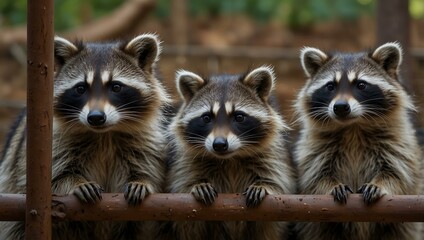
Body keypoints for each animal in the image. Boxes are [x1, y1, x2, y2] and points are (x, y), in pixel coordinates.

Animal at [0, 33, 169, 240]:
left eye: (116, 87)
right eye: (80, 88)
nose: (95, 117)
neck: (104, 135)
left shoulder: (144, 140)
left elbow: (148, 168)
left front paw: (142, 181)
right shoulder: (53, 143)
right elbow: (50, 179)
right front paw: (75, 182)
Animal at [161, 66, 296, 240]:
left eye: (239, 117)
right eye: (206, 118)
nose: (219, 145)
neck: (231, 159)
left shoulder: (273, 155)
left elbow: (279, 182)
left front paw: (264, 186)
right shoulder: (185, 160)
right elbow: (181, 187)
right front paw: (197, 185)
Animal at [294, 42, 422, 239]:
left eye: (361, 85)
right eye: (330, 86)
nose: (340, 107)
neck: (353, 128)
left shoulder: (398, 143)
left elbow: (398, 174)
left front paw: (380, 184)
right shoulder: (314, 148)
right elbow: (315, 177)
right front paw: (331, 185)